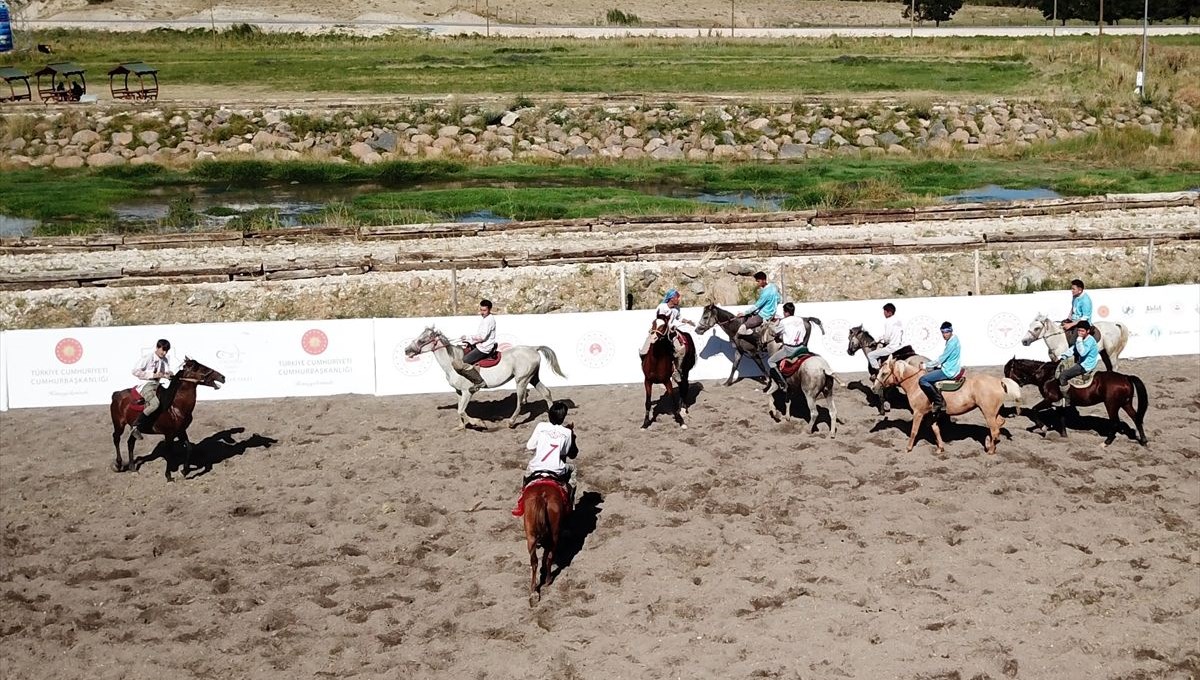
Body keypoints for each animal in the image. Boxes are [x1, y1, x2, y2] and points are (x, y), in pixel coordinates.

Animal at [403, 326, 566, 431]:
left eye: (421, 340)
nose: (407, 350)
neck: (452, 362)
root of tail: (533, 348)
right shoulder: (458, 392)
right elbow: (459, 410)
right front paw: (460, 427)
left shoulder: (467, 392)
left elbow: (462, 411)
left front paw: (479, 423)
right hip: (533, 378)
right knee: (546, 393)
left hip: (522, 380)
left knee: (520, 402)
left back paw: (511, 422)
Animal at [696, 303, 825, 388]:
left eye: (705, 317)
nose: (697, 330)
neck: (738, 327)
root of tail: (806, 319)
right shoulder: (739, 351)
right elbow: (734, 366)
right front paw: (727, 382)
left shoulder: (753, 352)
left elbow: (761, 367)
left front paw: (768, 381)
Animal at [868, 357, 1017, 458]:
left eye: (884, 373)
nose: (874, 388)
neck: (915, 384)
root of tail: (998, 381)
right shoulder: (931, 414)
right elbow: (936, 430)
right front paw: (940, 448)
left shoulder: (918, 413)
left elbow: (914, 431)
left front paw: (908, 448)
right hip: (993, 412)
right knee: (999, 424)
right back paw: (990, 443)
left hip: (988, 413)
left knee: (994, 429)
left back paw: (990, 449)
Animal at [998, 357, 1147, 446]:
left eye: (1007, 372)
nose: (1004, 388)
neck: (1047, 376)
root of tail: (1126, 377)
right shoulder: (1059, 403)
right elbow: (1061, 418)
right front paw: (1064, 436)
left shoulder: (1050, 399)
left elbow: (1035, 410)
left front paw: (1044, 428)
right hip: (1125, 403)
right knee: (1136, 418)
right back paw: (1144, 441)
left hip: (1111, 405)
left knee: (1116, 422)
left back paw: (1106, 442)